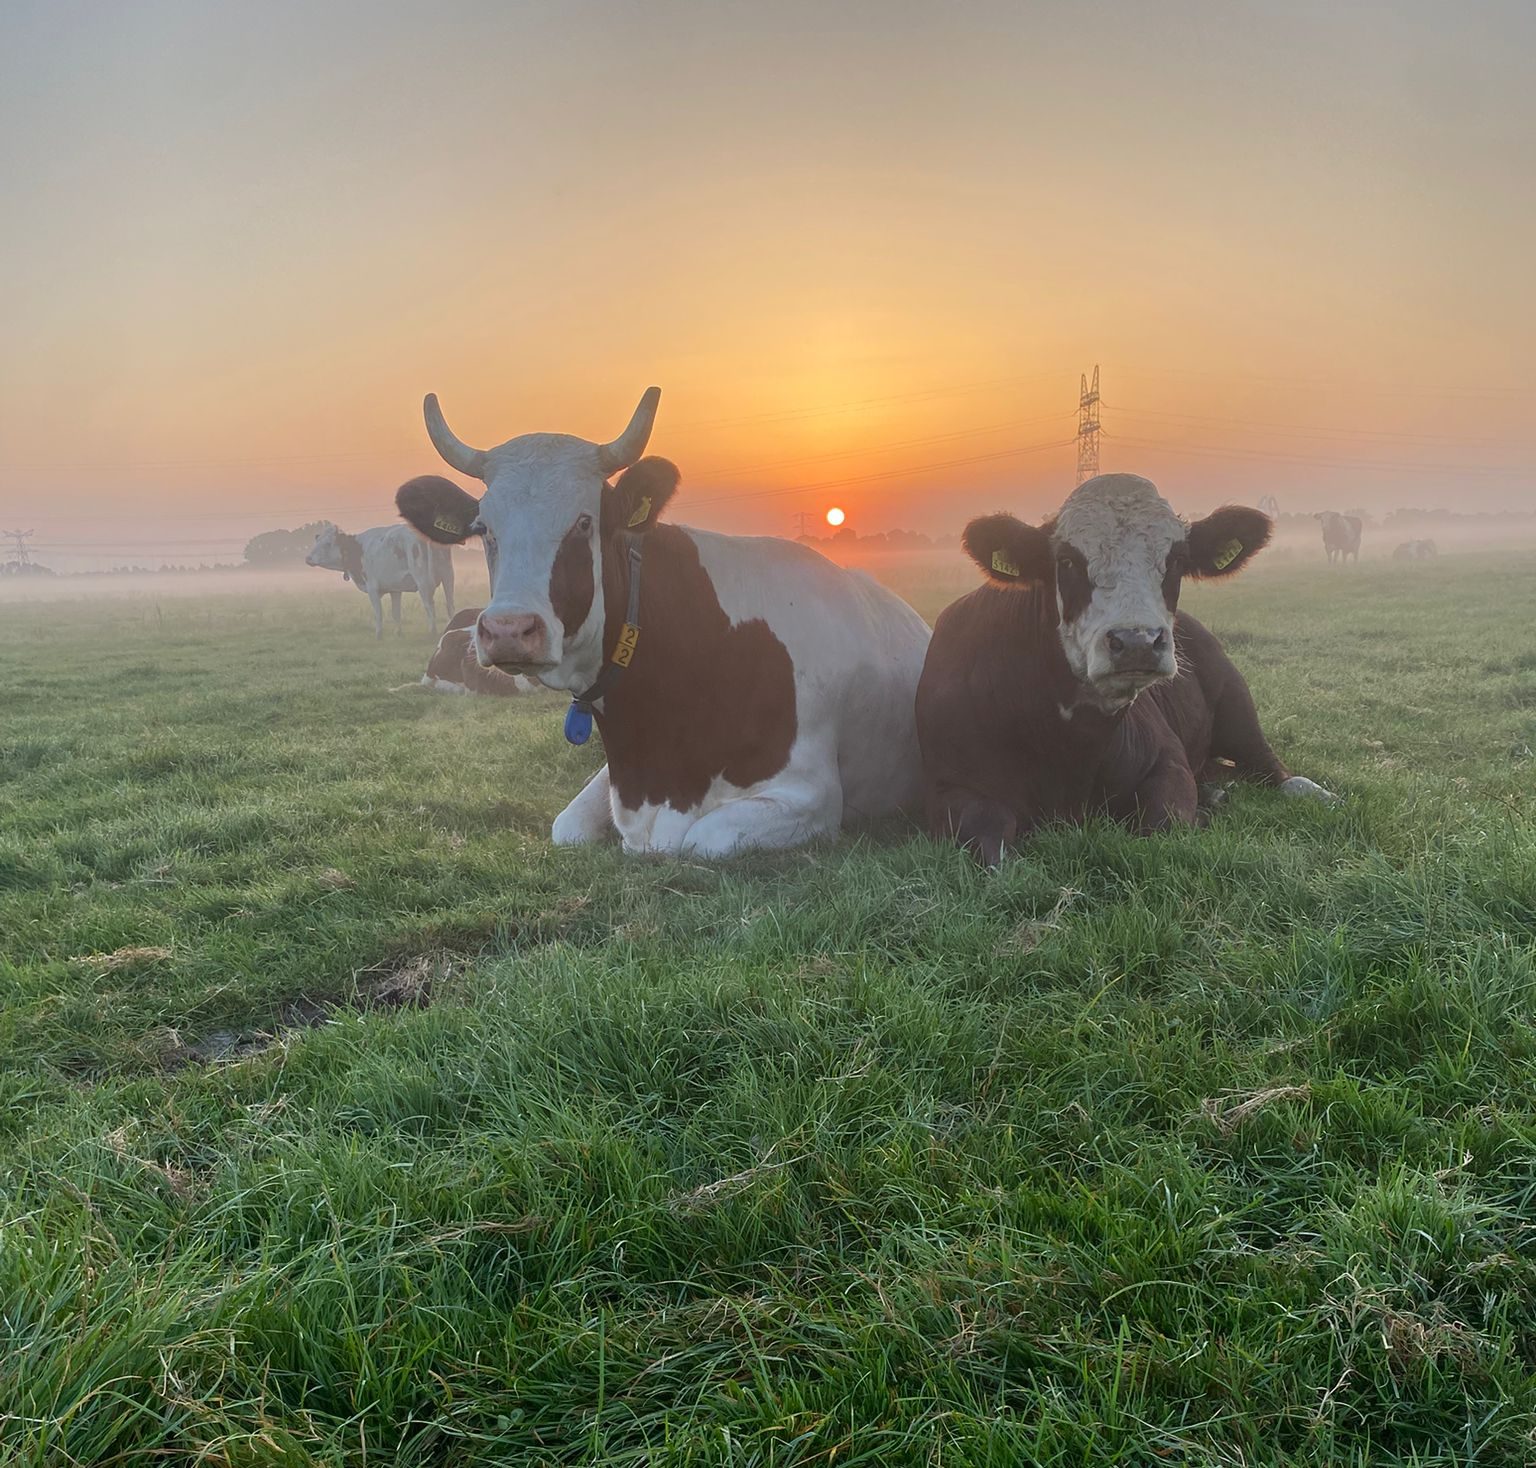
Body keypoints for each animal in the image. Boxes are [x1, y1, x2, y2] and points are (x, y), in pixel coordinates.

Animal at [306, 518, 455, 638]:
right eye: (317, 540)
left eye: (327, 544)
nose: (308, 558)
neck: (358, 549)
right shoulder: (395, 589)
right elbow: (396, 612)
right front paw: (398, 633)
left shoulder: (372, 587)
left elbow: (378, 613)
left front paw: (378, 634)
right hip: (448, 575)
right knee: (450, 605)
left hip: (423, 580)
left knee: (429, 606)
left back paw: (432, 632)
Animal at [395, 388, 932, 858]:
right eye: (484, 529)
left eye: (585, 522)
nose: (508, 630)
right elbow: (567, 825)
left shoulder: (812, 798)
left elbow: (705, 838)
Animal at [916, 474, 1335, 866]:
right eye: (1067, 561)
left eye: (1177, 560)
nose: (1137, 641)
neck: (1069, 743)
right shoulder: (950, 789)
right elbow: (994, 849)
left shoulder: (1168, 761)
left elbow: (1164, 825)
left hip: (1236, 706)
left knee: (1273, 768)